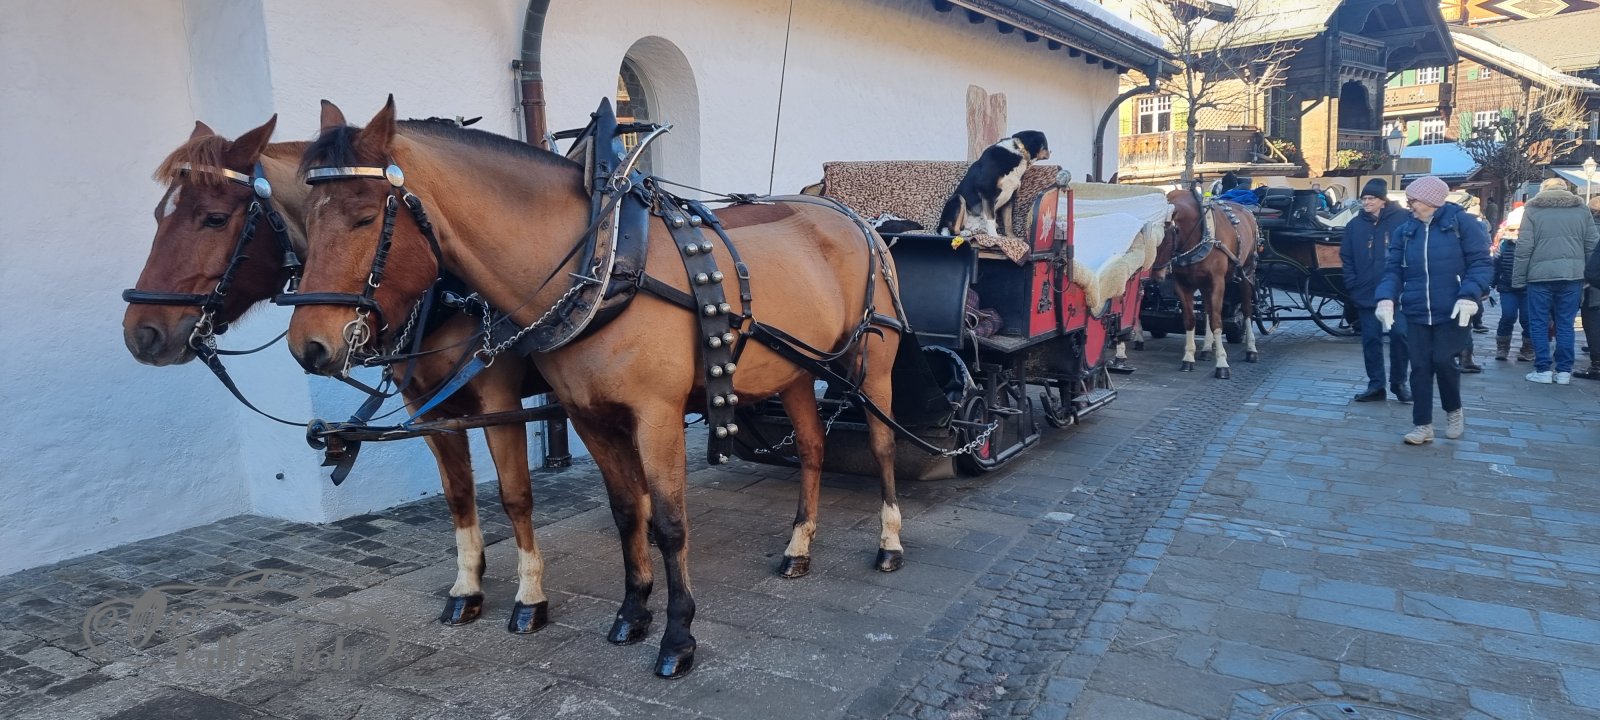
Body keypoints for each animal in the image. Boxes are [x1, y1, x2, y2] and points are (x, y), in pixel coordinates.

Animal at [122, 116, 557, 635]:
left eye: (214, 218)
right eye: (156, 215)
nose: (141, 332)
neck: (442, 292)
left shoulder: (498, 403)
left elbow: (516, 496)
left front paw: (530, 596)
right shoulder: (429, 409)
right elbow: (458, 495)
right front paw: (466, 588)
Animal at [284, 97, 907, 678]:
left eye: (366, 217)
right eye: (303, 221)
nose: (308, 346)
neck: (604, 263)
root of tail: (850, 215)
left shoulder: (650, 414)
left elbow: (667, 523)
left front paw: (677, 637)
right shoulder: (584, 415)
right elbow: (625, 510)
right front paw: (632, 613)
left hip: (872, 365)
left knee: (881, 446)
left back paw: (889, 544)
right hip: (796, 370)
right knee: (812, 448)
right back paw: (799, 548)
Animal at [1153, 189, 1261, 379]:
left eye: (1166, 237)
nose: (1155, 274)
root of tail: (1248, 211)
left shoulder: (1217, 282)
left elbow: (1217, 322)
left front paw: (1222, 363)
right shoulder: (1183, 284)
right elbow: (1191, 320)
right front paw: (1188, 358)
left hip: (1247, 274)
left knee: (1247, 309)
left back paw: (1251, 349)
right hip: (1204, 284)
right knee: (1208, 310)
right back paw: (1206, 350)